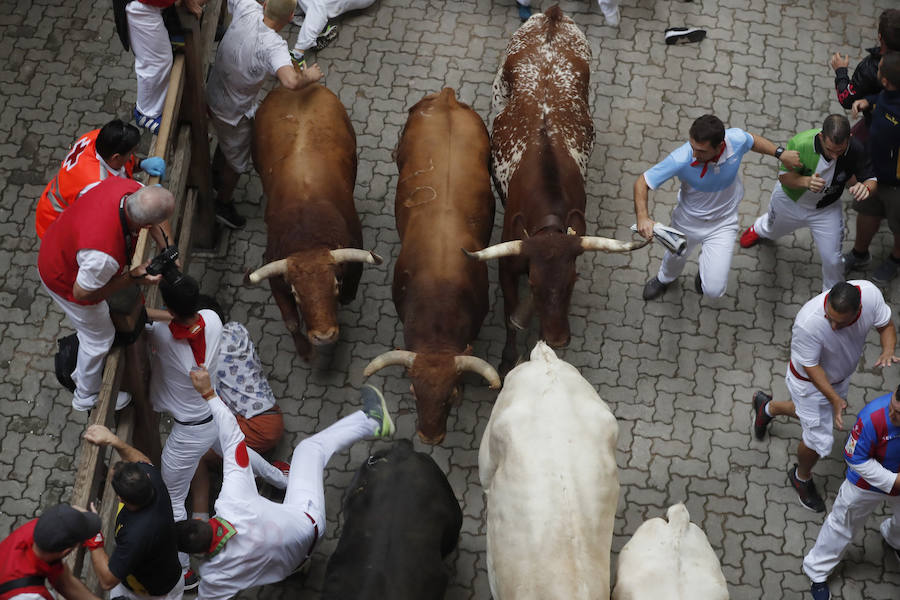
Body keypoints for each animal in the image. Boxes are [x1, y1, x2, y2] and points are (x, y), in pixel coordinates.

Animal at [246, 82, 380, 358]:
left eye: (335, 285)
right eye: (296, 294)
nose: (324, 336)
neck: (307, 235)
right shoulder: (275, 275)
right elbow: (291, 321)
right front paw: (304, 349)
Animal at [468, 7, 652, 376]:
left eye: (573, 281)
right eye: (535, 285)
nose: (558, 339)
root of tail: (552, 15)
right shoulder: (507, 268)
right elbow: (510, 318)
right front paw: (508, 358)